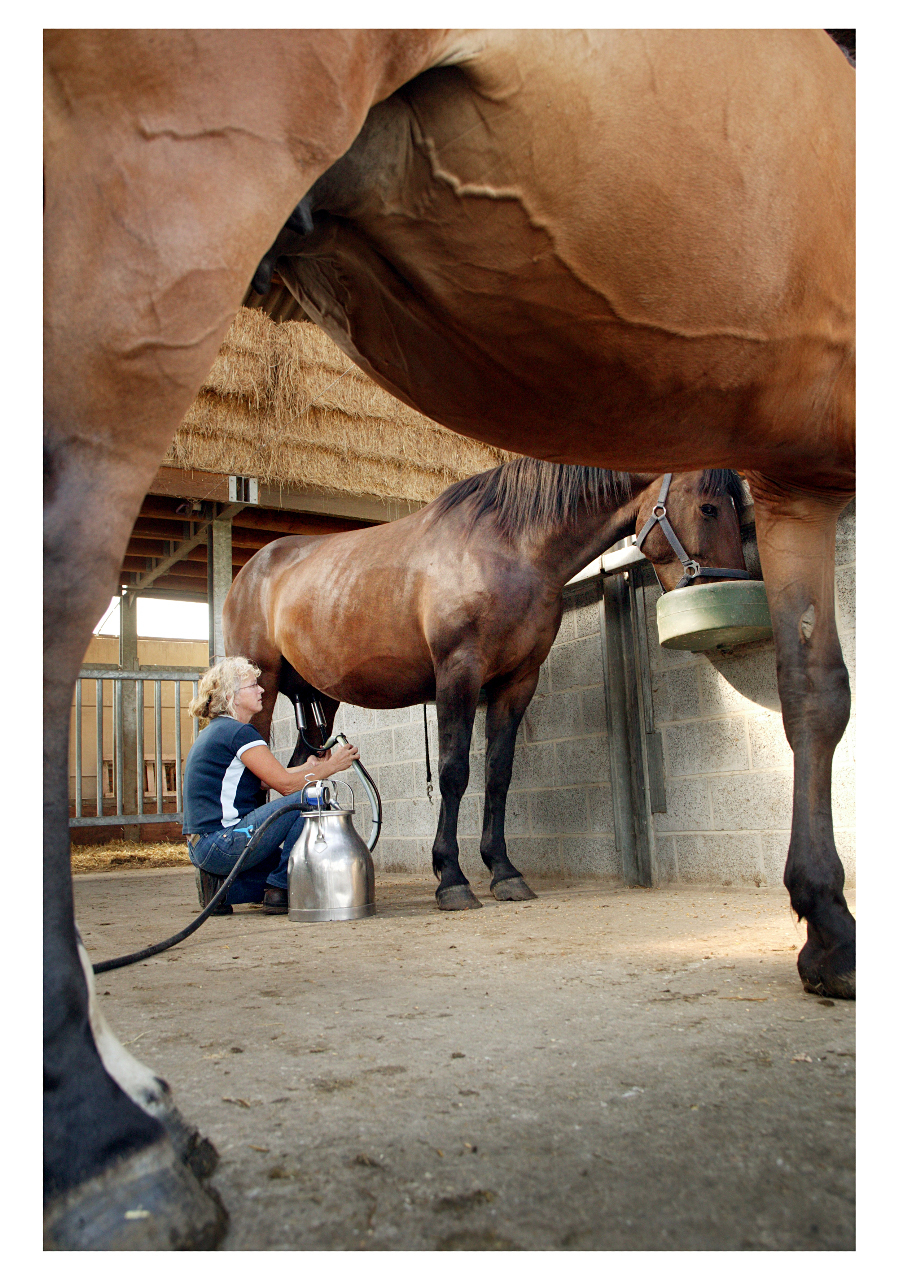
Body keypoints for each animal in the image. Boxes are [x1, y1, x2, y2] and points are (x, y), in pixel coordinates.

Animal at [224, 460, 747, 911]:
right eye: (709, 508)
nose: (733, 583)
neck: (509, 548)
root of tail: (250, 570)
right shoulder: (459, 673)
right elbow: (455, 772)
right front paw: (451, 878)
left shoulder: (517, 682)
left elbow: (499, 773)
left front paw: (504, 872)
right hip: (261, 689)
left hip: (319, 702)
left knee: (298, 774)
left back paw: (276, 891)